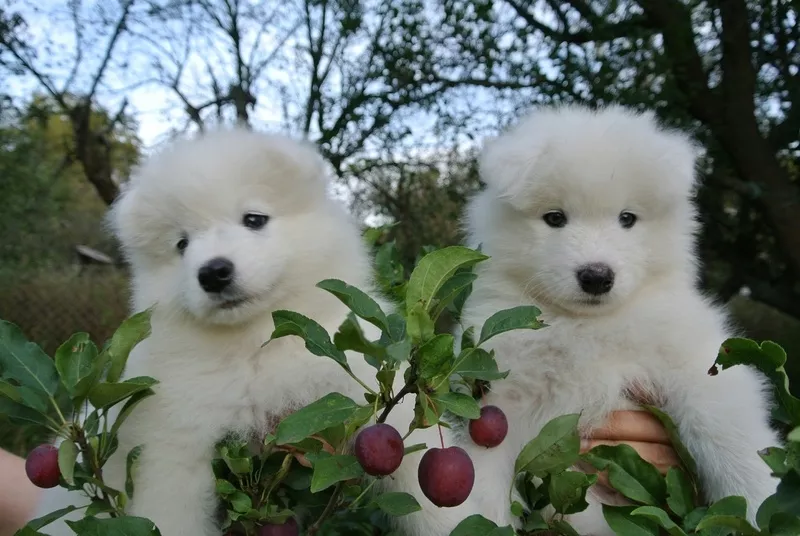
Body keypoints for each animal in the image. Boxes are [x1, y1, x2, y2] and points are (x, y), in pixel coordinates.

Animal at [29, 129, 412, 536]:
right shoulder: (174, 447)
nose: (213, 273)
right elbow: (173, 514)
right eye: (182, 244)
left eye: (254, 219)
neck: (256, 344)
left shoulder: (356, 387)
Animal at [450, 103, 780, 532]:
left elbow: (729, 435)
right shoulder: (499, 395)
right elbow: (484, 474)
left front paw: (763, 503)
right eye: (555, 218)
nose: (596, 276)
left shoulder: (697, 365)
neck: (587, 327)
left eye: (627, 219)